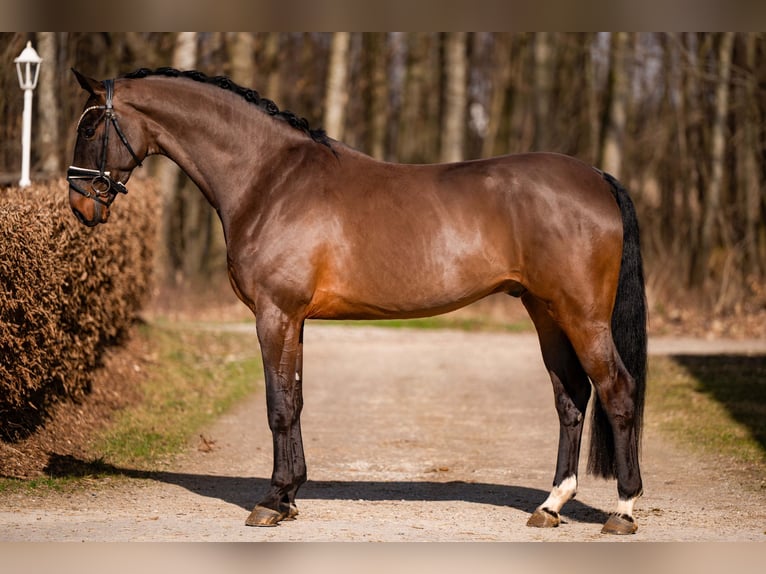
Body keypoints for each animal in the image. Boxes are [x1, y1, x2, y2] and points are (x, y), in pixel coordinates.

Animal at [67, 67, 647, 535]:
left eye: (90, 128)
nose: (79, 204)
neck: (270, 179)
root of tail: (598, 178)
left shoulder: (274, 314)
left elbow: (278, 407)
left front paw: (270, 502)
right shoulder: (294, 319)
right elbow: (296, 400)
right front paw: (290, 496)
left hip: (582, 316)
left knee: (617, 391)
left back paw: (622, 510)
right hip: (546, 312)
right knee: (571, 398)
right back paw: (551, 505)